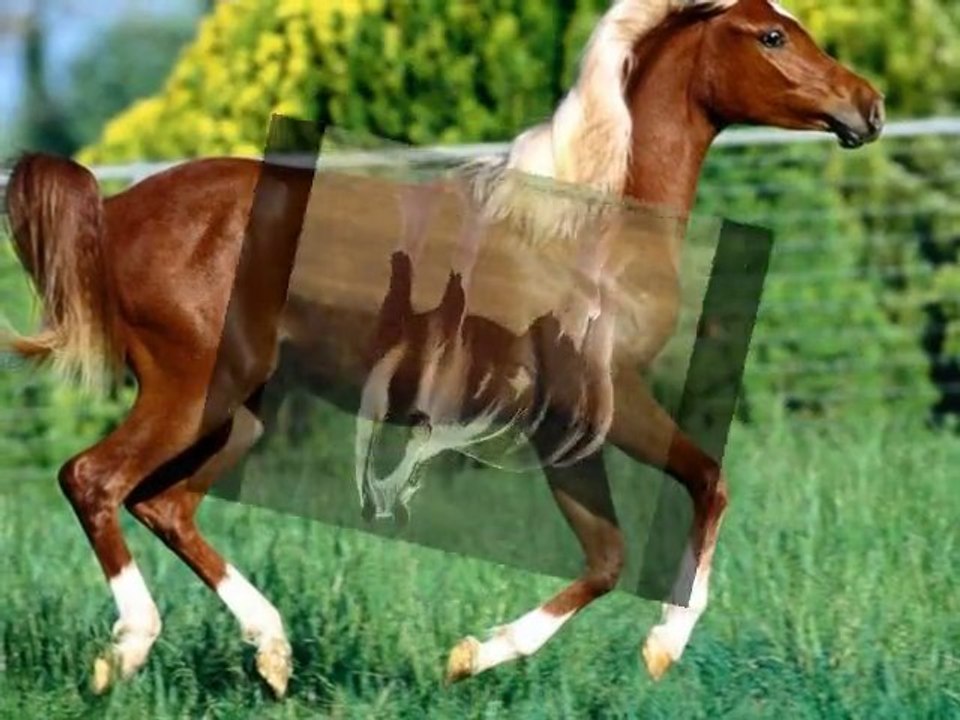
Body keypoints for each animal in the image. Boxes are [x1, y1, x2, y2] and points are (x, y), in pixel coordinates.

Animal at [2, 0, 884, 698]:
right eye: (772, 34)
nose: (868, 105)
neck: (583, 230)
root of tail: (116, 212)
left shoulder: (558, 427)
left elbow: (606, 555)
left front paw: (470, 656)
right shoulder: (603, 400)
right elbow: (708, 485)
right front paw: (661, 649)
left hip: (241, 412)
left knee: (165, 504)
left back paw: (274, 653)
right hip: (195, 391)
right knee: (94, 479)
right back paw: (128, 651)